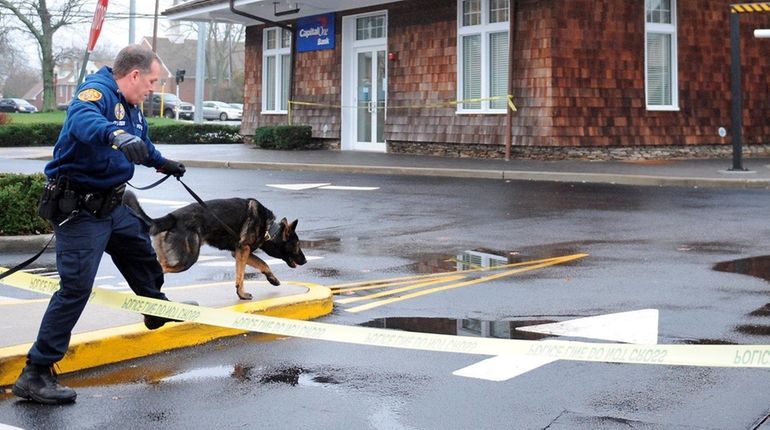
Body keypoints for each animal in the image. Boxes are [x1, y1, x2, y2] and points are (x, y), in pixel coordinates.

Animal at [121, 190, 304, 300]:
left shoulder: (239, 252)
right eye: (297, 244)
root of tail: (172, 216)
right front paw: (242, 294)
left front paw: (272, 279)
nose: (304, 261)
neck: (269, 229)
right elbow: (241, 275)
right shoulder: (243, 250)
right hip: (187, 260)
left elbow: (263, 263)